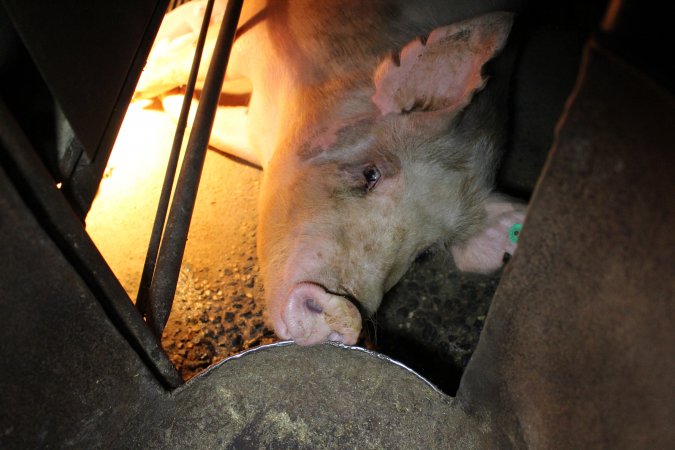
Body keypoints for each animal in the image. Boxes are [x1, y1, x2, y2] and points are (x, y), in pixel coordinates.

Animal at [139, 0, 528, 344]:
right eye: (370, 174)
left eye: (425, 254)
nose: (344, 316)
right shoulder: (251, 39)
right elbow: (190, 62)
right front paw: (149, 95)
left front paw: (173, 104)